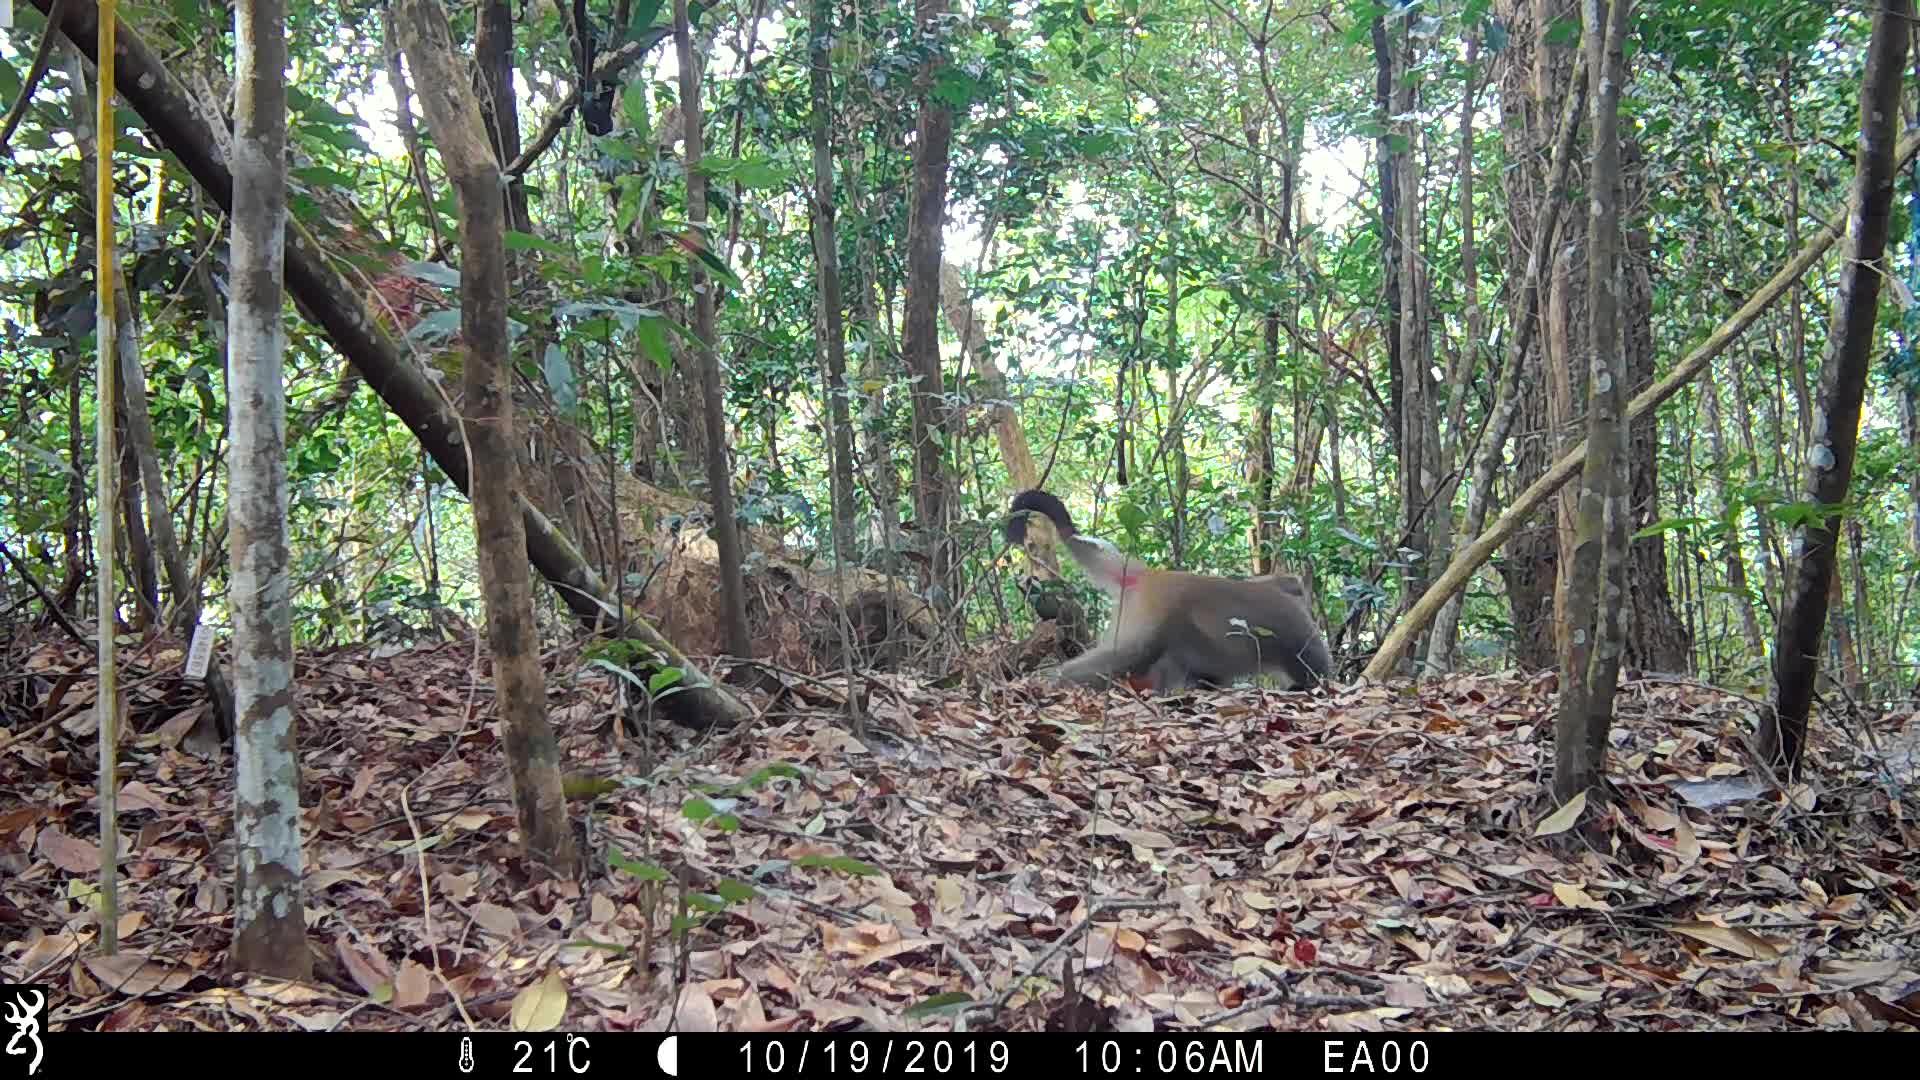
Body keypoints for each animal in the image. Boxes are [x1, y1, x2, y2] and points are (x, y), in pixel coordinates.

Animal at [1006, 486, 1336, 687]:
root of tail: (1150, 576)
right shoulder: (1300, 634)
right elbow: (1317, 675)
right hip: (1152, 617)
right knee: (1132, 654)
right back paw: (1061, 679)